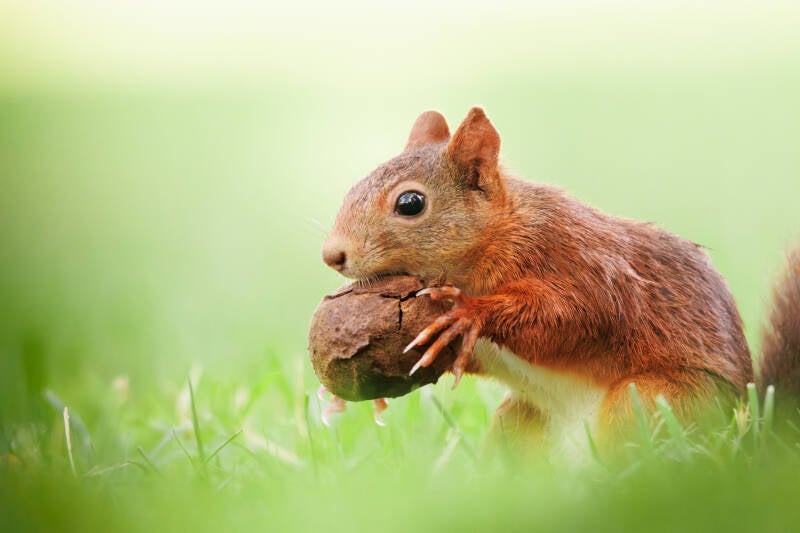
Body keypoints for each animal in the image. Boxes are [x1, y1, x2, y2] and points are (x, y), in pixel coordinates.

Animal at [321, 107, 800, 450]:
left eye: (411, 203)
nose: (331, 255)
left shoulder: (576, 258)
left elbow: (577, 316)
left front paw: (468, 314)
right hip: (519, 427)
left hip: (653, 402)